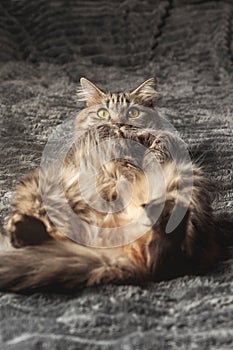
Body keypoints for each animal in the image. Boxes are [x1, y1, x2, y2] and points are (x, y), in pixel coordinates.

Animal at [0, 77, 220, 292]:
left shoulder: (167, 143)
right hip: (45, 188)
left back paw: (161, 213)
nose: (118, 123)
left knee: (166, 259)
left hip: (185, 181)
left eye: (133, 112)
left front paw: (142, 159)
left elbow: (160, 141)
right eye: (103, 113)